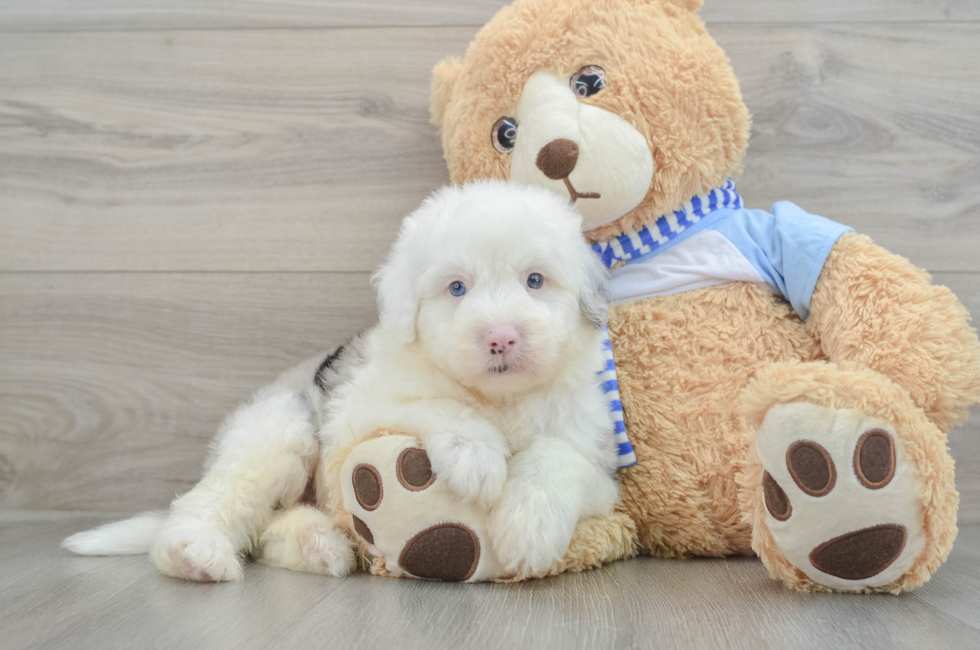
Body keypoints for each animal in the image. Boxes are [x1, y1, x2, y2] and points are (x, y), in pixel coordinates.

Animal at [63, 181, 612, 576]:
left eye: (535, 280)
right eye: (457, 288)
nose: (501, 338)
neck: (498, 398)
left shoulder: (599, 464)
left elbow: (558, 454)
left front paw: (529, 528)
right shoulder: (359, 408)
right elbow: (431, 402)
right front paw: (475, 454)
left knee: (266, 532)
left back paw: (319, 546)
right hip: (278, 431)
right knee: (215, 501)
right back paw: (194, 554)